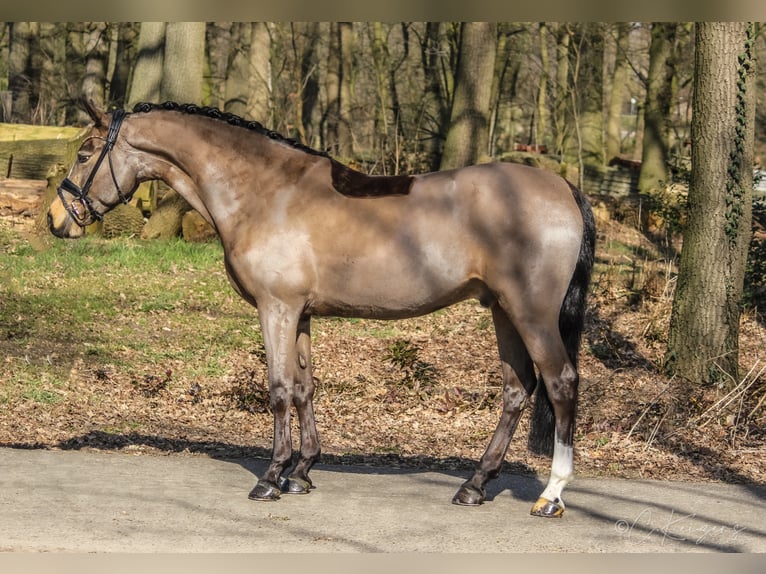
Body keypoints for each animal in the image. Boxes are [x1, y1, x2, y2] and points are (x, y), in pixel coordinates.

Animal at [49, 101, 600, 520]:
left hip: (530, 314)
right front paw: (302, 472)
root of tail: (564, 189)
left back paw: (551, 494)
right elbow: (304, 387)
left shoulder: (276, 308)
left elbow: (277, 390)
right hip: (502, 311)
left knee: (560, 384)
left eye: (84, 154)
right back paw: (475, 484)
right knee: (517, 390)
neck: (265, 192)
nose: (56, 219)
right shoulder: (302, 313)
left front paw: (271, 477)